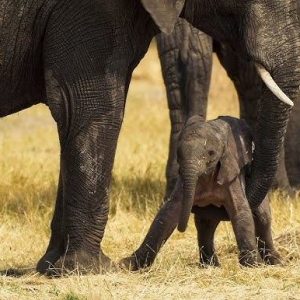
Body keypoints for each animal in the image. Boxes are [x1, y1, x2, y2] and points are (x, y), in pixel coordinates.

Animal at [120, 115, 280, 270]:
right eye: (178, 154)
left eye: (211, 153)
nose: (181, 229)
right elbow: (168, 213)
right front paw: (128, 264)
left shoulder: (231, 173)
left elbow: (240, 210)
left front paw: (253, 265)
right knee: (206, 224)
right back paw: (210, 265)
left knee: (262, 217)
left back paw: (275, 262)